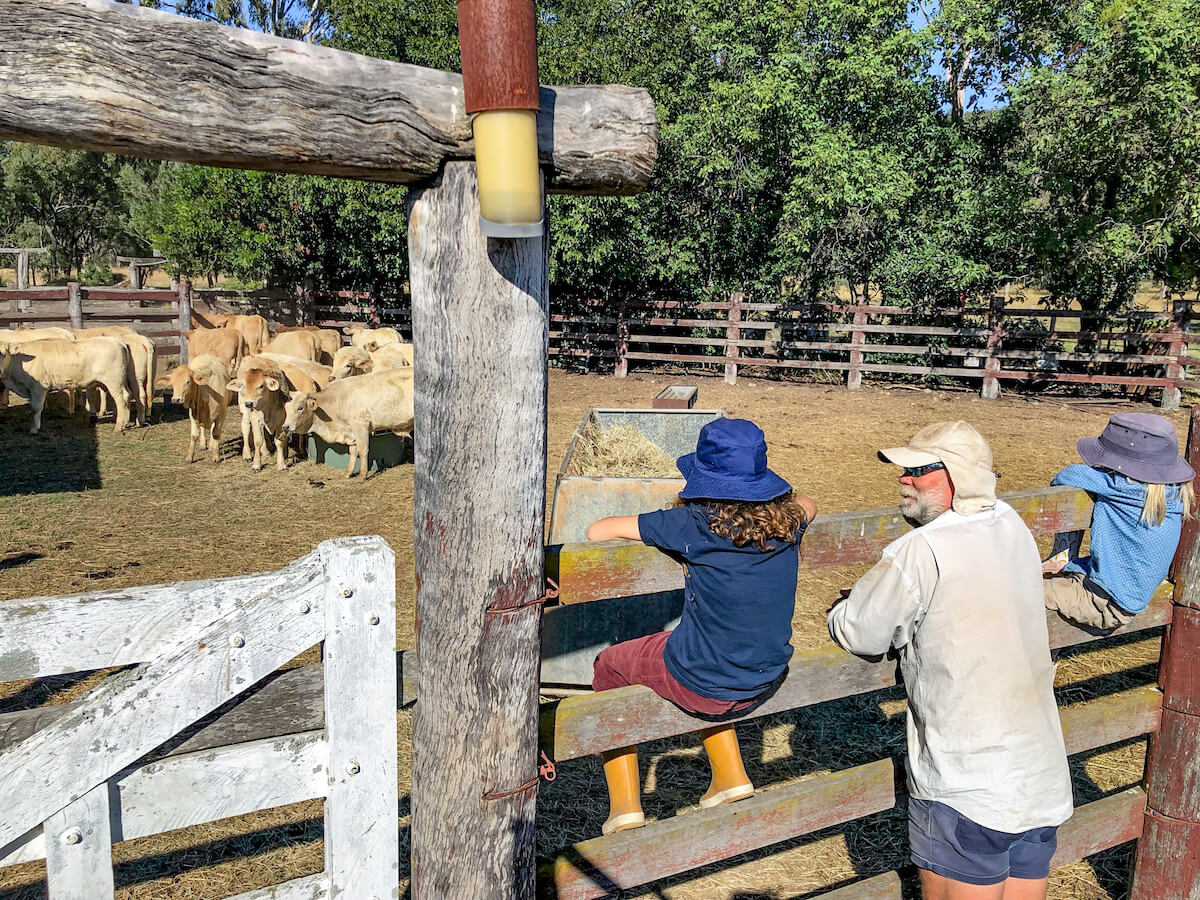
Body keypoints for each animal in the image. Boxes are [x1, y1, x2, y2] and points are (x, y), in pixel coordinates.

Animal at [0, 337, 135, 434]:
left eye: (3, 353)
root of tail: (117, 341)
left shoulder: (38, 387)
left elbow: (36, 408)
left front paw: (34, 429)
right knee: (128, 395)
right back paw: (125, 422)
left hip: (114, 382)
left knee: (121, 400)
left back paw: (119, 426)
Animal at [281, 367, 415, 479]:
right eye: (286, 408)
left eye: (300, 408)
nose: (285, 427)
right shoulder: (351, 431)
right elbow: (353, 451)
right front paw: (347, 473)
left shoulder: (361, 425)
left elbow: (363, 450)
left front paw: (362, 475)